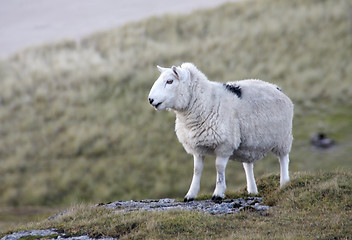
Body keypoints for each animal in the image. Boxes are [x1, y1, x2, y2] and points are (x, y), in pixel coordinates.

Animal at [147, 62, 292, 201]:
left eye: (169, 81)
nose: (150, 100)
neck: (207, 102)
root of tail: (276, 87)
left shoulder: (224, 145)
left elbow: (219, 168)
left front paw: (218, 193)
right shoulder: (197, 147)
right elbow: (197, 170)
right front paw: (190, 195)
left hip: (283, 138)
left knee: (283, 159)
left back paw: (284, 183)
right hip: (249, 144)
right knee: (248, 165)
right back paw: (252, 191)